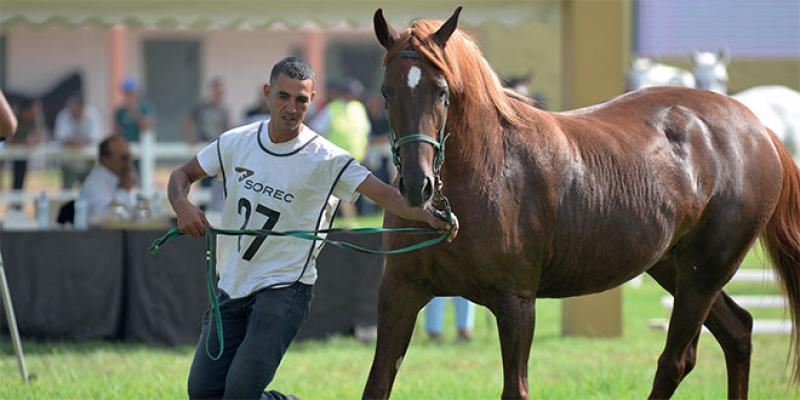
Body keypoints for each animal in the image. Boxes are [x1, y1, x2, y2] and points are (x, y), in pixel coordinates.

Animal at [366, 7, 800, 400]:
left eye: (442, 92)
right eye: (386, 91)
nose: (417, 186)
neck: (488, 170)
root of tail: (757, 127)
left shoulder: (516, 305)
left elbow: (516, 389)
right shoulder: (400, 293)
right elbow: (378, 384)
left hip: (704, 273)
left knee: (677, 360)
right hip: (674, 267)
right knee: (738, 331)